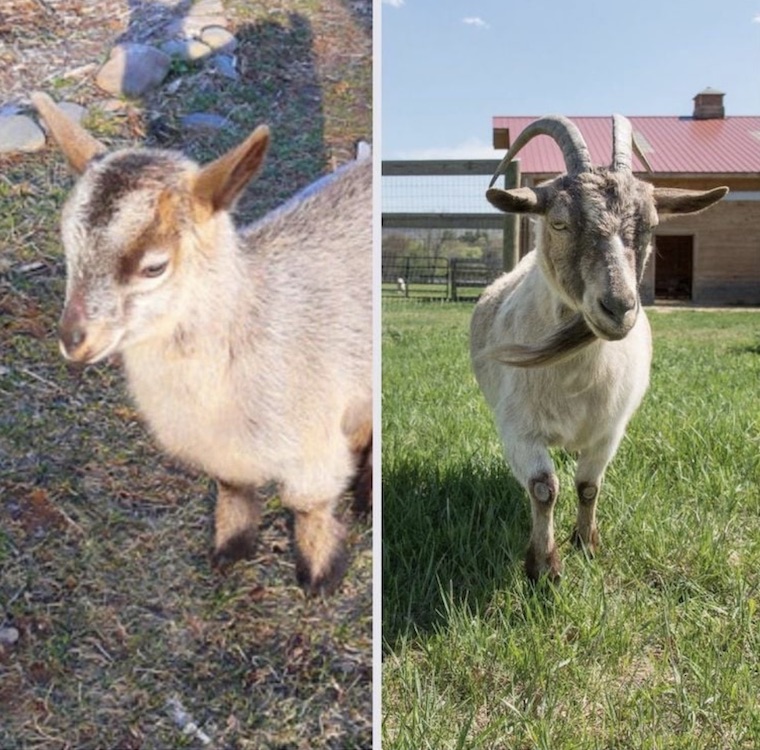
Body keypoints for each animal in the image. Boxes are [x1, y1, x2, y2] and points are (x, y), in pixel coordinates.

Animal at [32, 92, 372, 595]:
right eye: (68, 249)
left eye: (154, 266)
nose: (73, 339)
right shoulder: (223, 445)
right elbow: (231, 486)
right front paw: (230, 548)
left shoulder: (312, 441)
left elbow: (308, 505)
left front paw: (319, 574)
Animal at [470, 114, 727, 582]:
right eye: (558, 223)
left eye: (652, 226)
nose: (619, 307)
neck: (575, 376)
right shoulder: (518, 428)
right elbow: (543, 488)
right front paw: (543, 568)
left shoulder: (610, 430)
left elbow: (588, 486)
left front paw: (586, 545)